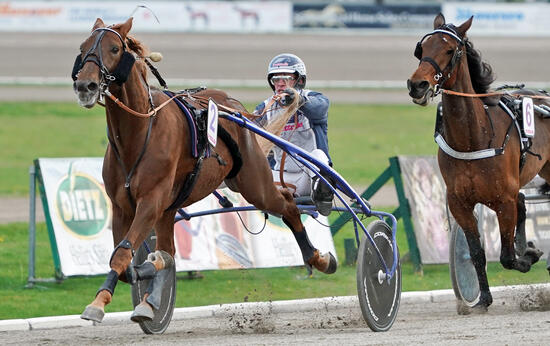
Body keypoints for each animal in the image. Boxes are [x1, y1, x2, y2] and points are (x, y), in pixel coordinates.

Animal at [72, 17, 336, 324]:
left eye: (114, 48)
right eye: (83, 48)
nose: (86, 85)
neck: (138, 134)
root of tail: (234, 106)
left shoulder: (150, 202)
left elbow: (122, 254)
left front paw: (98, 303)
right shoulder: (123, 206)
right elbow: (129, 262)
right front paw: (144, 279)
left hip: (254, 185)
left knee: (289, 205)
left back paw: (320, 257)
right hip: (173, 207)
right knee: (169, 249)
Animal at [408, 14, 548, 310]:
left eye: (450, 50)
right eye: (421, 49)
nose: (417, 85)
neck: (474, 137)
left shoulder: (502, 201)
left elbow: (507, 257)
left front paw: (528, 256)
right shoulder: (459, 202)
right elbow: (476, 253)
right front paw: (483, 297)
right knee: (522, 202)